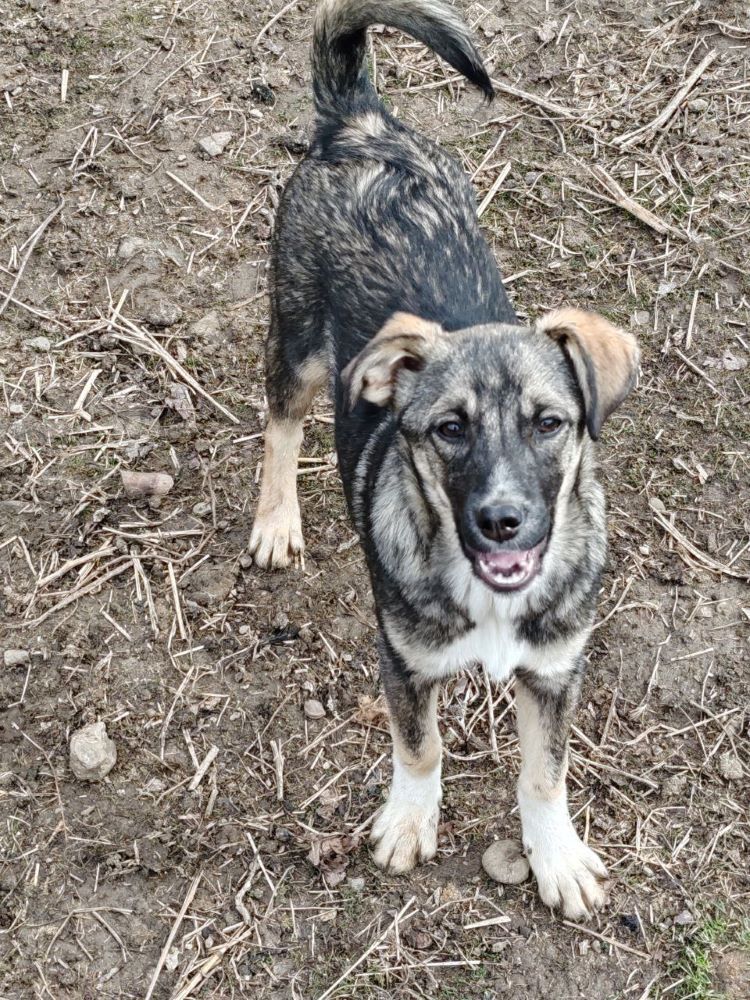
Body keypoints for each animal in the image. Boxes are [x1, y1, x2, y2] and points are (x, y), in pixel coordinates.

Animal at [251, 1, 640, 920]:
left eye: (550, 423)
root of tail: (359, 123)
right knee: (280, 421)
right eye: (449, 430)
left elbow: (545, 773)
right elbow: (420, 747)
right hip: (298, 339)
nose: (503, 521)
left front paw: (555, 856)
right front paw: (409, 823)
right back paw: (277, 519)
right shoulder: (403, 661)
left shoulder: (556, 673)